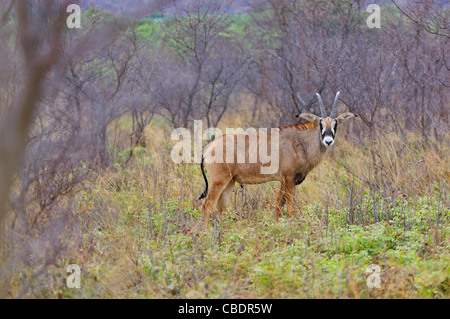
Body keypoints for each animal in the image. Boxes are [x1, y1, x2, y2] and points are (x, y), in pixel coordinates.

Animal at [199, 92, 356, 228]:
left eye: (336, 124)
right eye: (321, 124)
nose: (328, 141)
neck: (300, 142)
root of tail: (209, 147)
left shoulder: (283, 181)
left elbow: (278, 209)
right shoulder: (289, 179)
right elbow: (291, 209)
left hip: (230, 182)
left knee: (220, 208)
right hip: (218, 181)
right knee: (207, 206)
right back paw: (204, 233)